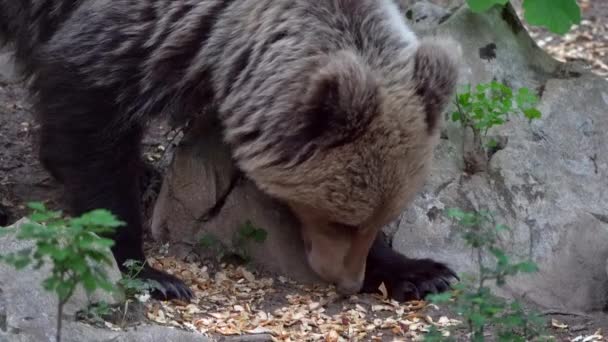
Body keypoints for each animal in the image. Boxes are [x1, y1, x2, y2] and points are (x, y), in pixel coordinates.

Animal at [0, 0, 456, 300]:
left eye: (381, 218)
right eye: (340, 220)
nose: (347, 282)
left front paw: (420, 273)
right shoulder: (128, 35)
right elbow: (90, 127)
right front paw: (152, 273)